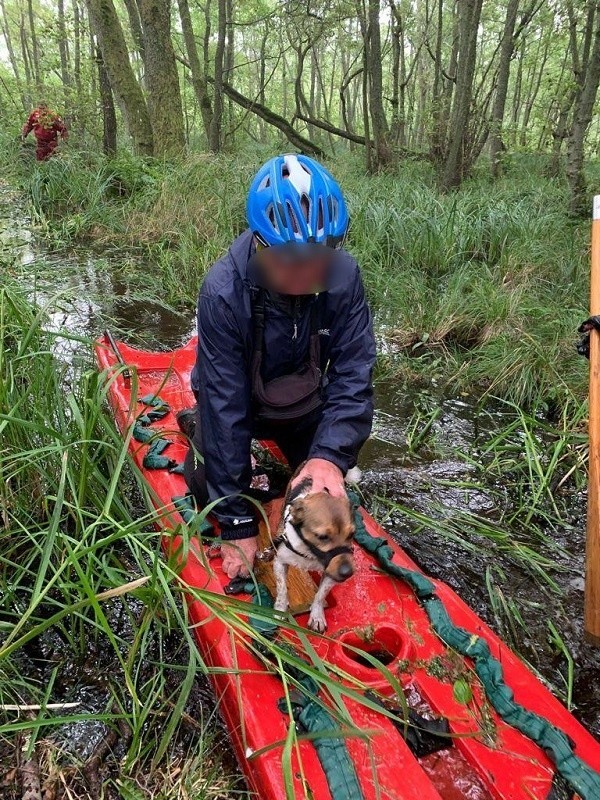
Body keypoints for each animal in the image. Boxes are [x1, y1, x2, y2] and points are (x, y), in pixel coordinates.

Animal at [274, 468, 360, 632]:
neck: (309, 552)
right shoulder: (279, 561)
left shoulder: (331, 573)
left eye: (352, 534)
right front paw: (279, 610)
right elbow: (282, 589)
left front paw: (317, 616)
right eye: (322, 536)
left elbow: (321, 595)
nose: (347, 572)